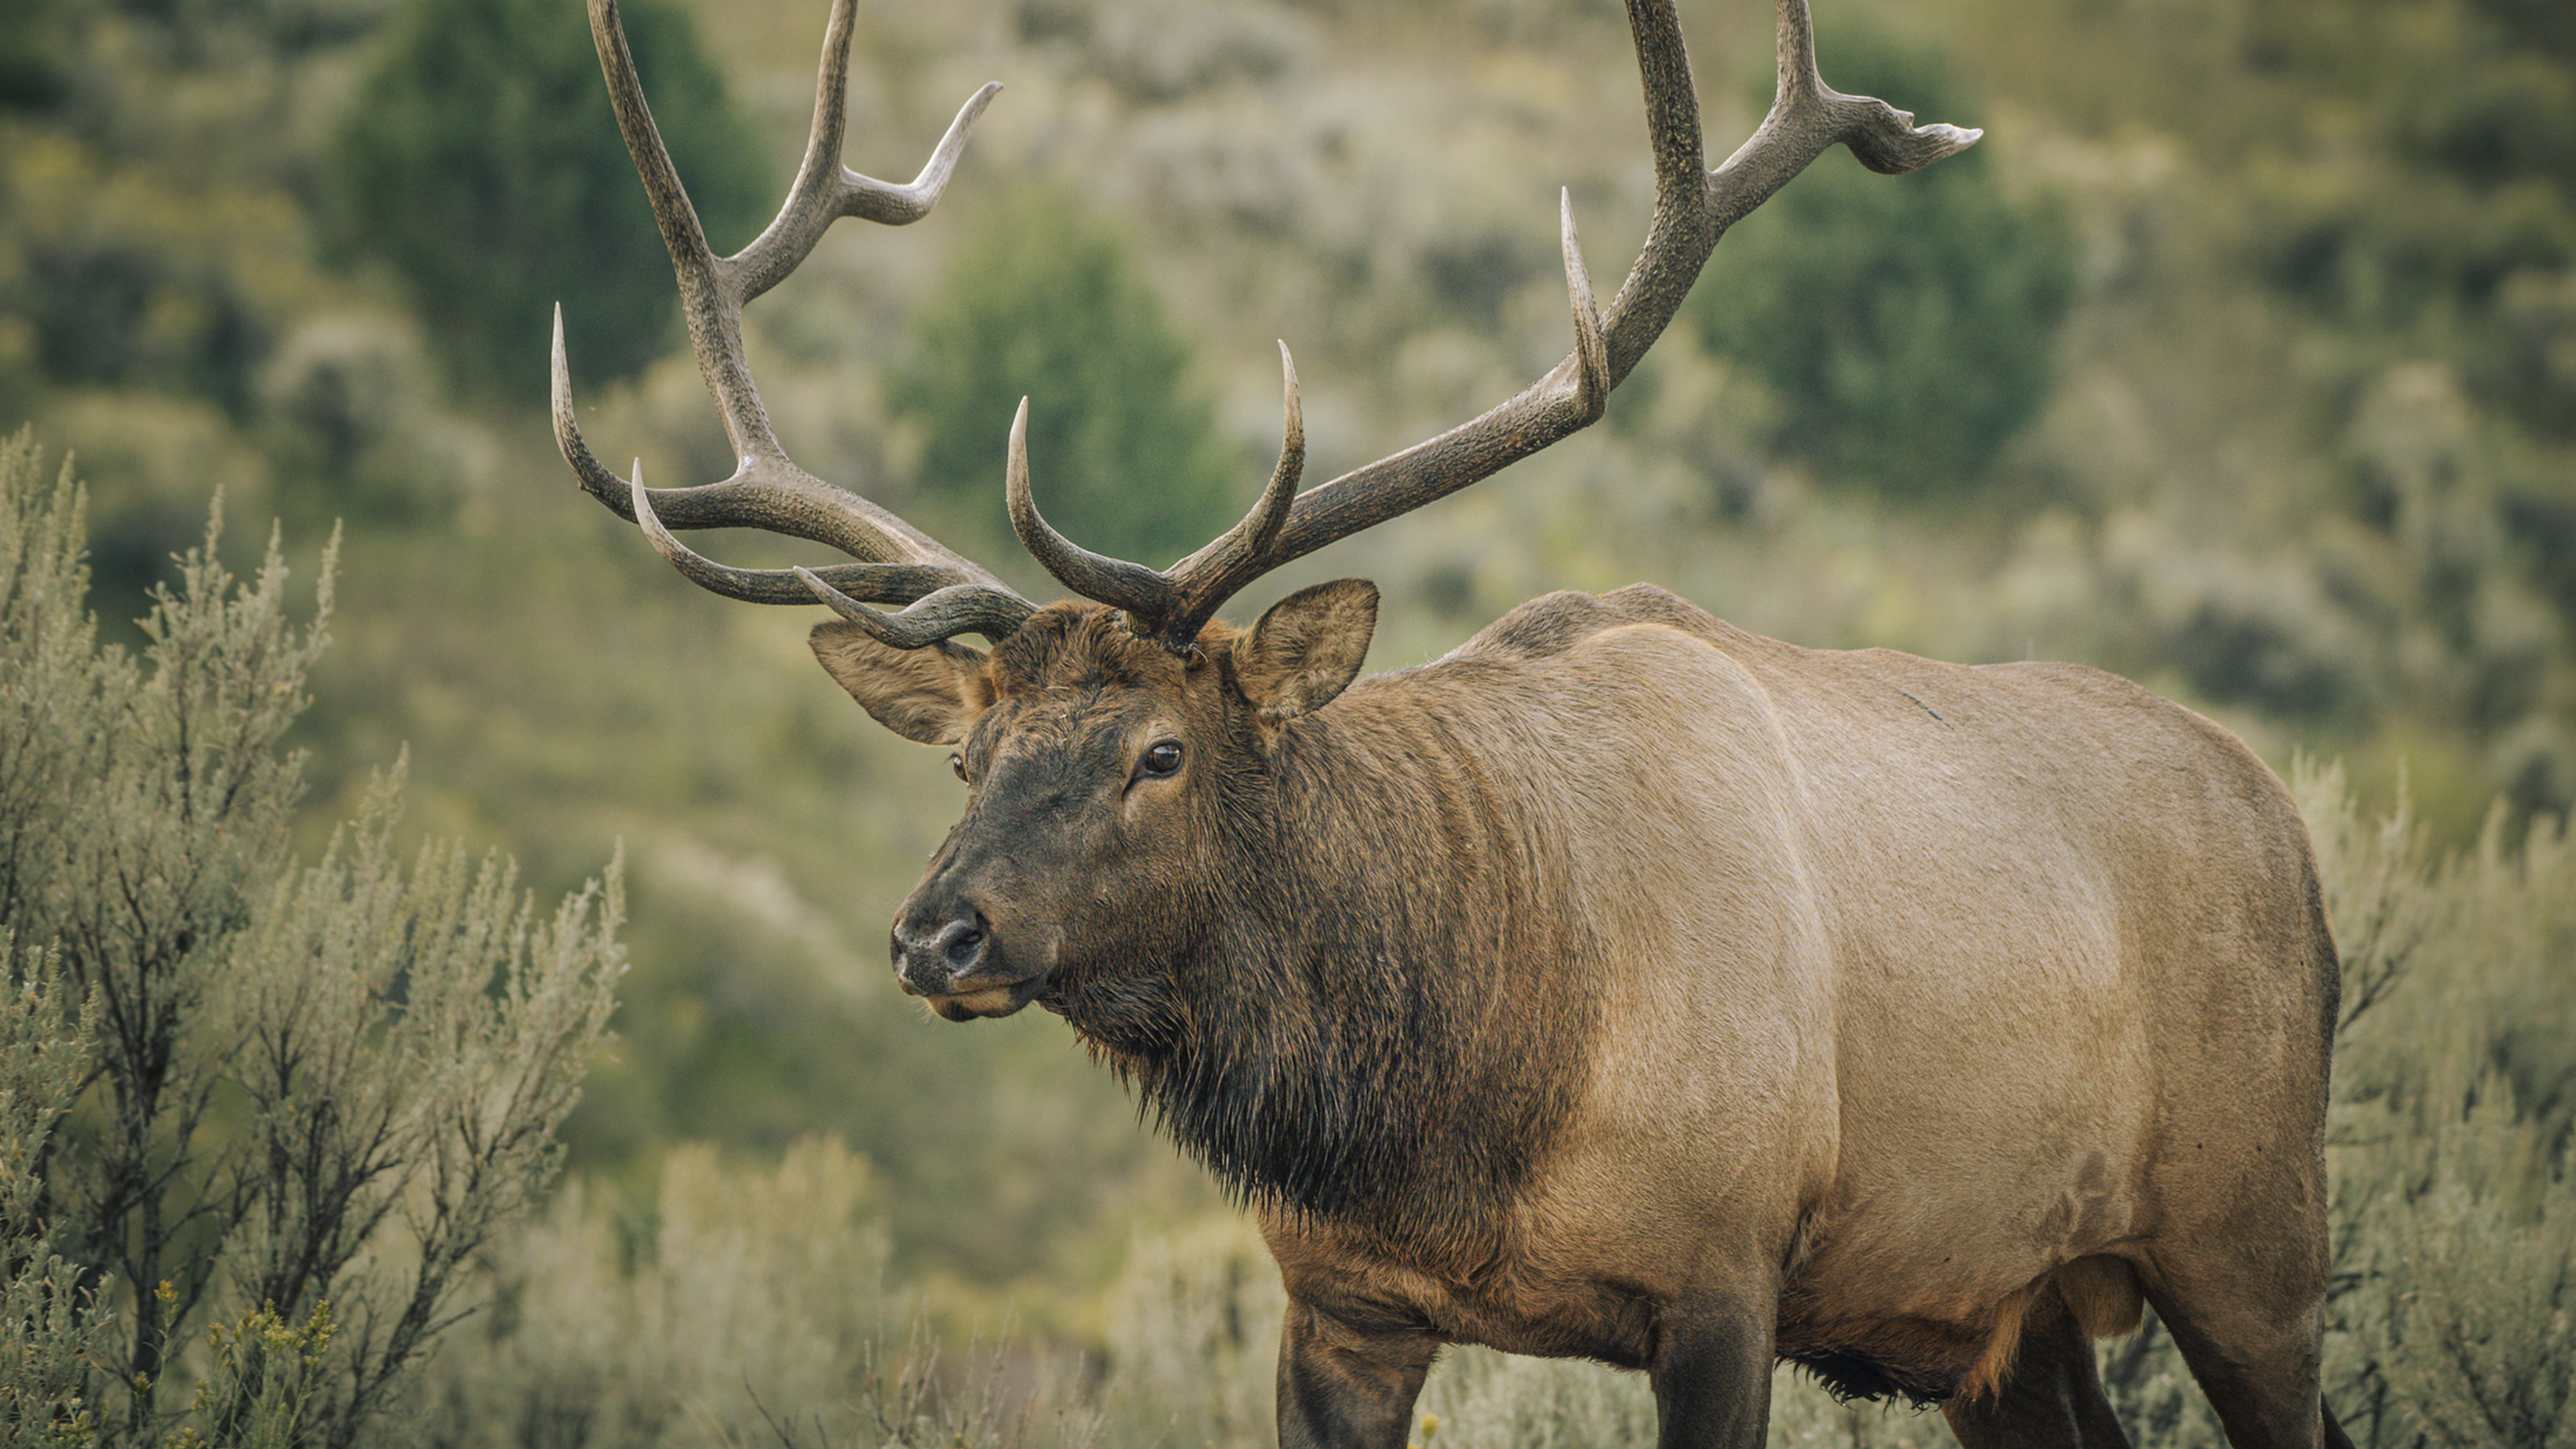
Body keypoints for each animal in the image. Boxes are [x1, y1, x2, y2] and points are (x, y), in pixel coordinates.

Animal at [547, 0, 2357, 1444]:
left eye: (1159, 751)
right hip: (2012, 1310)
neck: (1462, 1108)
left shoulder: (1726, 1279)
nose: (938, 935)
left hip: (2254, 1234)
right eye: (966, 755)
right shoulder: (1340, 1302)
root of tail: (2294, 837)